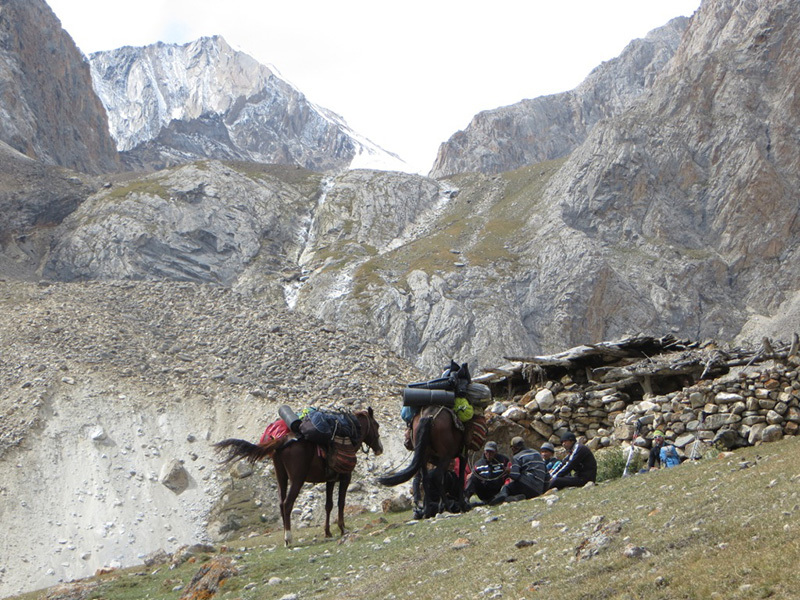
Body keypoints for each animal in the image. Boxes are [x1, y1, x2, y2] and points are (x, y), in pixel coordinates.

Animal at [214, 408, 382, 544]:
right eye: (377, 425)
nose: (380, 448)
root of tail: (281, 440)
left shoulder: (330, 480)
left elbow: (328, 505)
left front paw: (327, 532)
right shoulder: (345, 478)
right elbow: (341, 503)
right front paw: (342, 529)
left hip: (281, 478)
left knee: (281, 504)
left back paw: (285, 537)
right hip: (297, 479)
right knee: (287, 504)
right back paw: (289, 538)